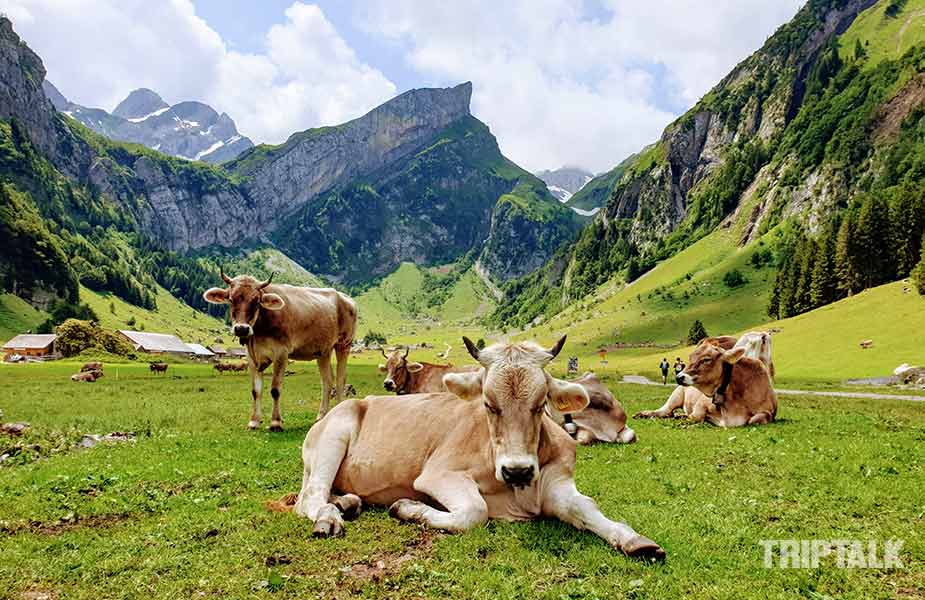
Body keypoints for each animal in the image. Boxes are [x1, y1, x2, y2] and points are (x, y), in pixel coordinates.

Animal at [203, 272, 358, 432]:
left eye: (256, 300)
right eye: (231, 299)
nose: (241, 329)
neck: (258, 333)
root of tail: (346, 298)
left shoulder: (281, 353)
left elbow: (275, 389)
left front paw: (275, 423)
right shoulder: (251, 357)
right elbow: (255, 391)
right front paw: (254, 421)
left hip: (344, 344)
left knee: (340, 379)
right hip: (323, 351)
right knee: (327, 380)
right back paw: (321, 417)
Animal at [274, 336, 664, 560]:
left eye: (541, 405)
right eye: (489, 404)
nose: (517, 469)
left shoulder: (557, 483)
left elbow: (586, 507)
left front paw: (634, 539)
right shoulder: (438, 474)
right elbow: (474, 511)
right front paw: (408, 508)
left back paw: (347, 504)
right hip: (332, 439)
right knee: (311, 497)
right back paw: (329, 517)